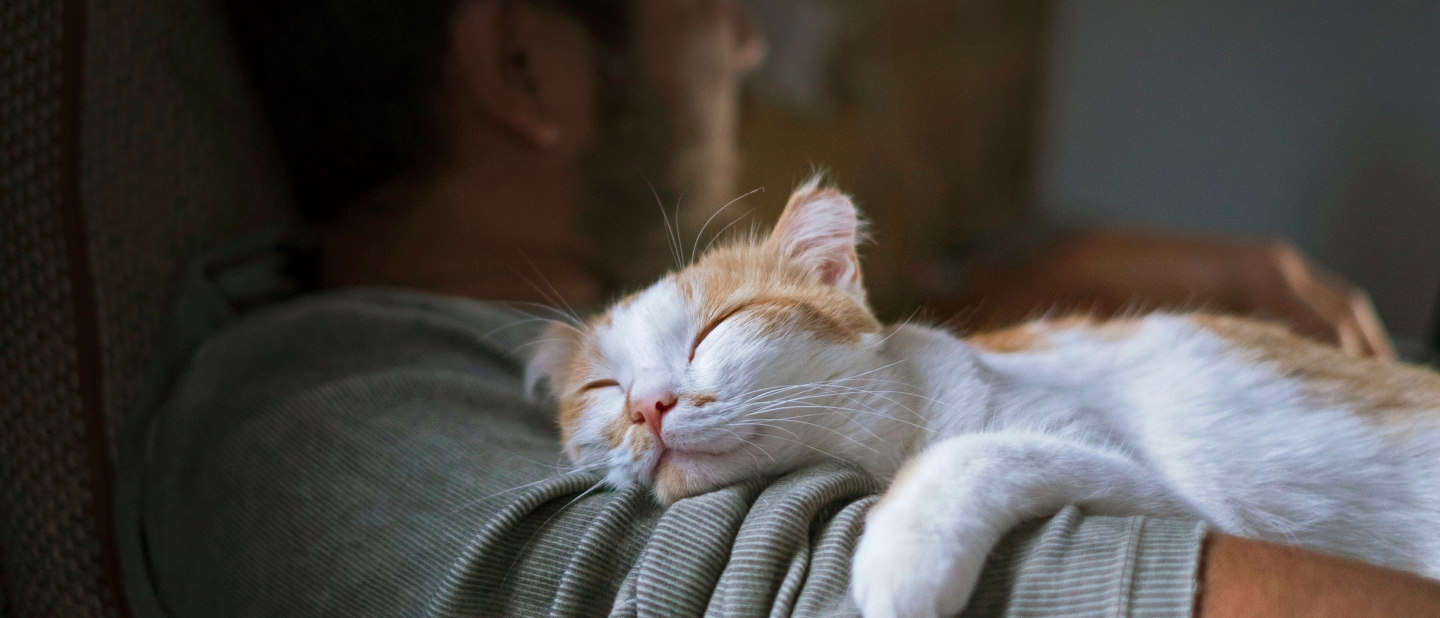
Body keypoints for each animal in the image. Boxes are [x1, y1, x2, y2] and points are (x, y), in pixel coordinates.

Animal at [532, 177, 1440, 616]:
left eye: (717, 328)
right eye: (603, 390)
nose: (648, 406)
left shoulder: (1173, 496)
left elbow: (968, 451)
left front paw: (900, 560)